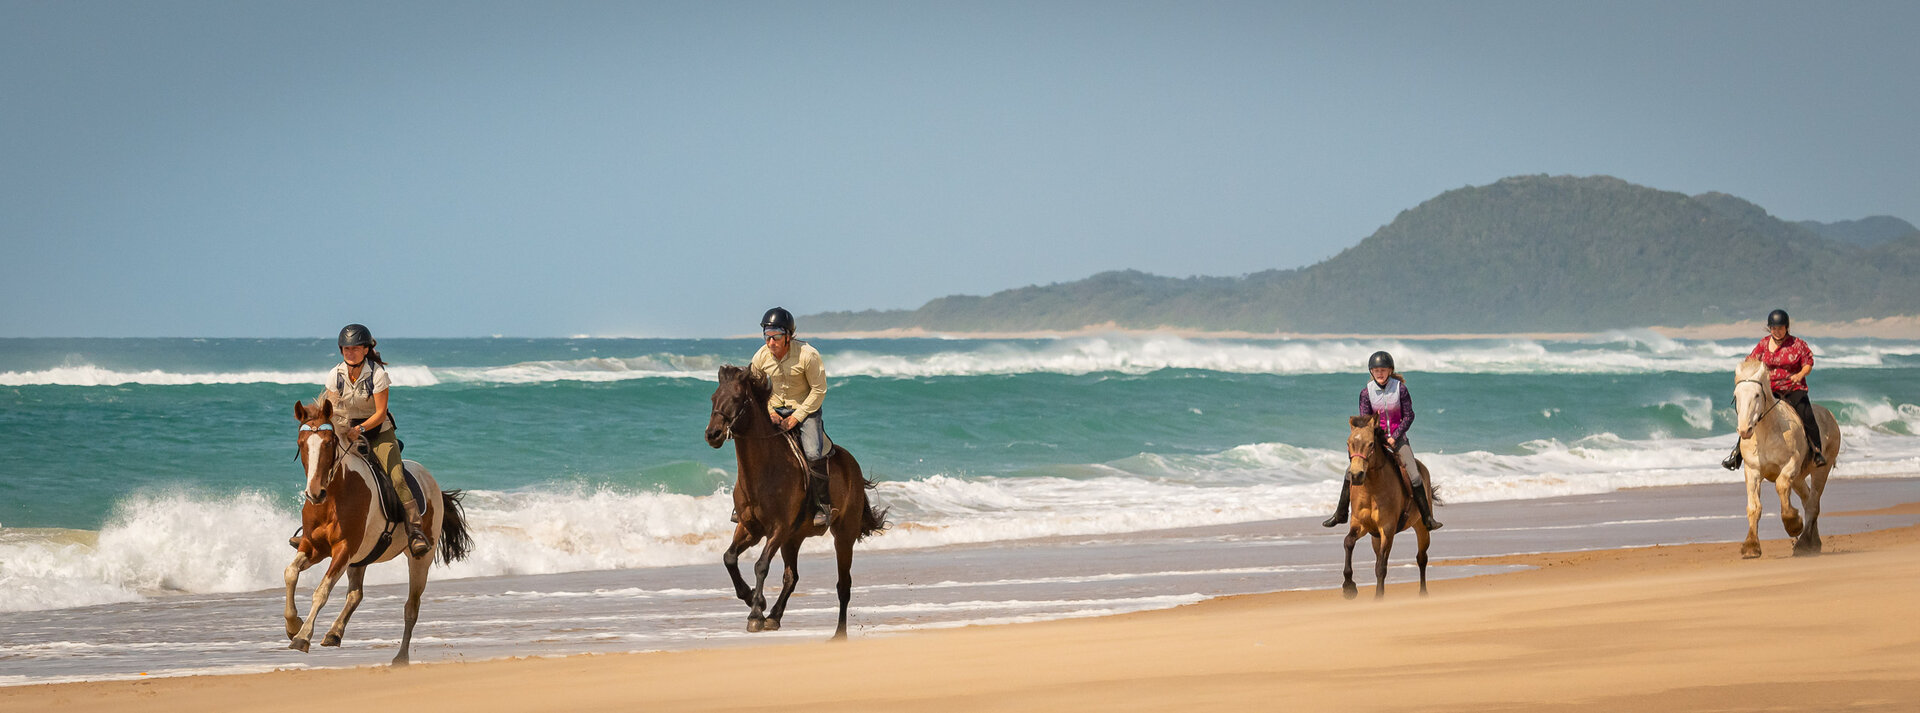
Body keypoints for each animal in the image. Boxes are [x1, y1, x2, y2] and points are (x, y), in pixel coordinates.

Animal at [284, 400, 472, 666]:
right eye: (301, 444)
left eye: (328, 443)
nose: (314, 493)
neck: (333, 497)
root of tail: (432, 482)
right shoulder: (312, 547)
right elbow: (290, 573)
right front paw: (293, 626)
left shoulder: (344, 549)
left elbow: (321, 591)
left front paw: (302, 637)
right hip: (360, 559)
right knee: (356, 595)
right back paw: (334, 633)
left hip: (419, 560)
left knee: (411, 608)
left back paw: (401, 657)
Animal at [705, 365, 887, 640]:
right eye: (714, 398)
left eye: (737, 399)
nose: (712, 434)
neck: (764, 470)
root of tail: (852, 466)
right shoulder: (750, 528)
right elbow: (729, 558)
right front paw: (753, 599)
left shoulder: (778, 529)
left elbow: (761, 565)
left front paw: (755, 614)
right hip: (794, 539)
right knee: (792, 577)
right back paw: (774, 616)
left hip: (842, 536)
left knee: (843, 585)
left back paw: (839, 634)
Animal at [1339, 414, 1436, 600]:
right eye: (1348, 443)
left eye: (1370, 444)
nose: (1356, 475)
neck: (1371, 490)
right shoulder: (1360, 524)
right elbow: (1348, 542)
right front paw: (1349, 587)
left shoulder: (1388, 529)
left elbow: (1381, 566)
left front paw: (1378, 597)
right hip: (1375, 537)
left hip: (1421, 526)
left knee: (1421, 558)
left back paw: (1423, 593)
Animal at [1732, 359, 1841, 558]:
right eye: (1736, 395)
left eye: (1757, 395)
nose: (1744, 430)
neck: (1766, 432)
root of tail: (1830, 415)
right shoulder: (1752, 470)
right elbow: (1754, 507)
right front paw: (1751, 546)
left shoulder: (1790, 465)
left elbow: (1781, 486)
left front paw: (1793, 524)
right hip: (1798, 478)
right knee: (1808, 500)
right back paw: (1813, 542)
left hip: (1822, 469)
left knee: (1813, 503)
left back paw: (1803, 543)